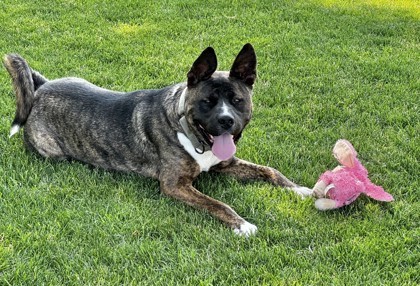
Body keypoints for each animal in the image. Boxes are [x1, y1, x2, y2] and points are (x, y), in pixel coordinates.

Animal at [4, 44, 312, 237]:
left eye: (237, 100)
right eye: (207, 102)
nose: (226, 121)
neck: (187, 129)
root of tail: (41, 88)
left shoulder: (226, 162)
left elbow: (270, 171)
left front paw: (300, 190)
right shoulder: (175, 185)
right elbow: (217, 203)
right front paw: (242, 224)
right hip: (51, 151)